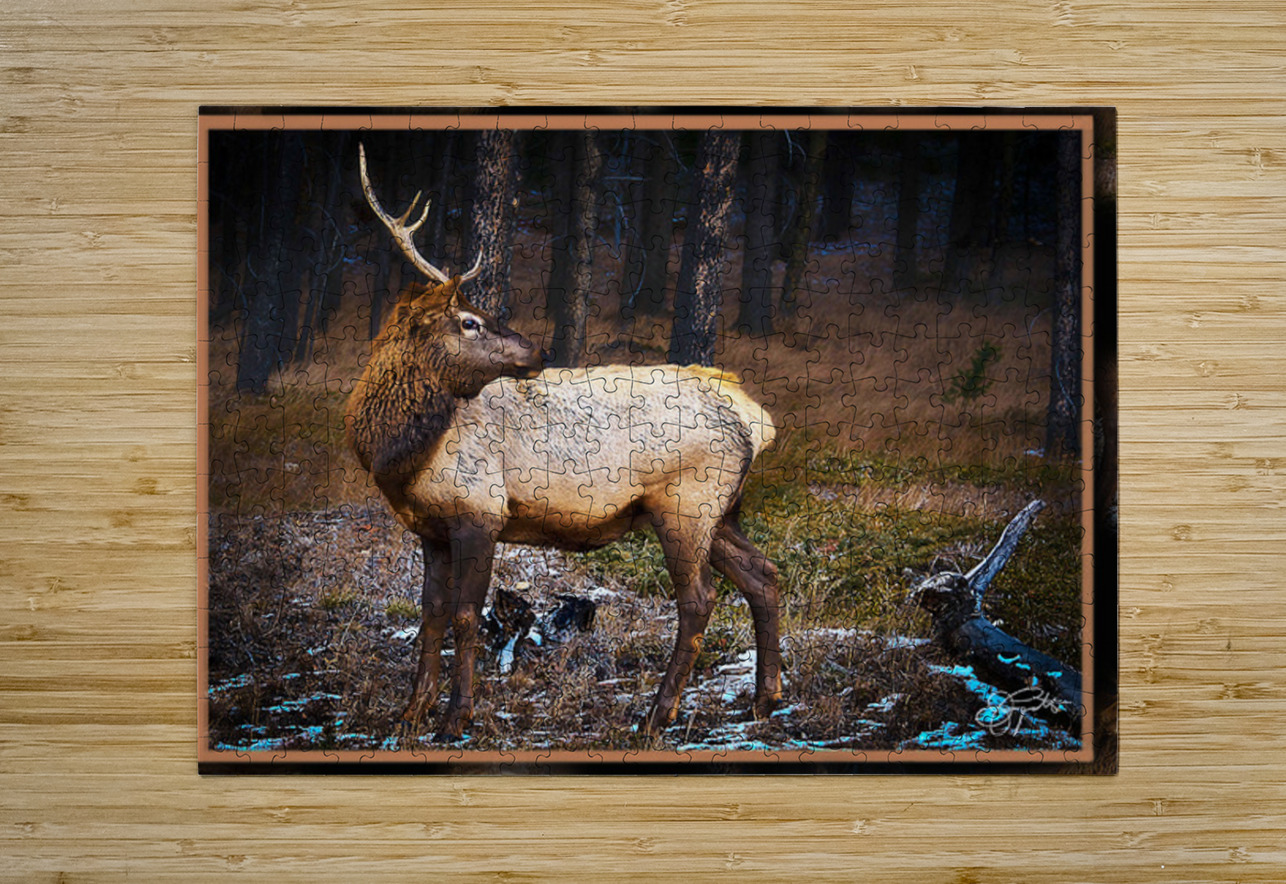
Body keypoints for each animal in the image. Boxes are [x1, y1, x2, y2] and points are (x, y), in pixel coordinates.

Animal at [346, 144, 782, 740]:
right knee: (764, 576)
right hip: (721, 510)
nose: (538, 352)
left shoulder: (480, 511)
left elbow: (465, 616)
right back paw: (765, 701)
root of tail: (753, 418)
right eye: (468, 321)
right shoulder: (429, 529)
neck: (402, 459)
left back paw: (656, 715)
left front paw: (457, 716)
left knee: (699, 600)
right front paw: (412, 711)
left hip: (687, 504)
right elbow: (430, 615)